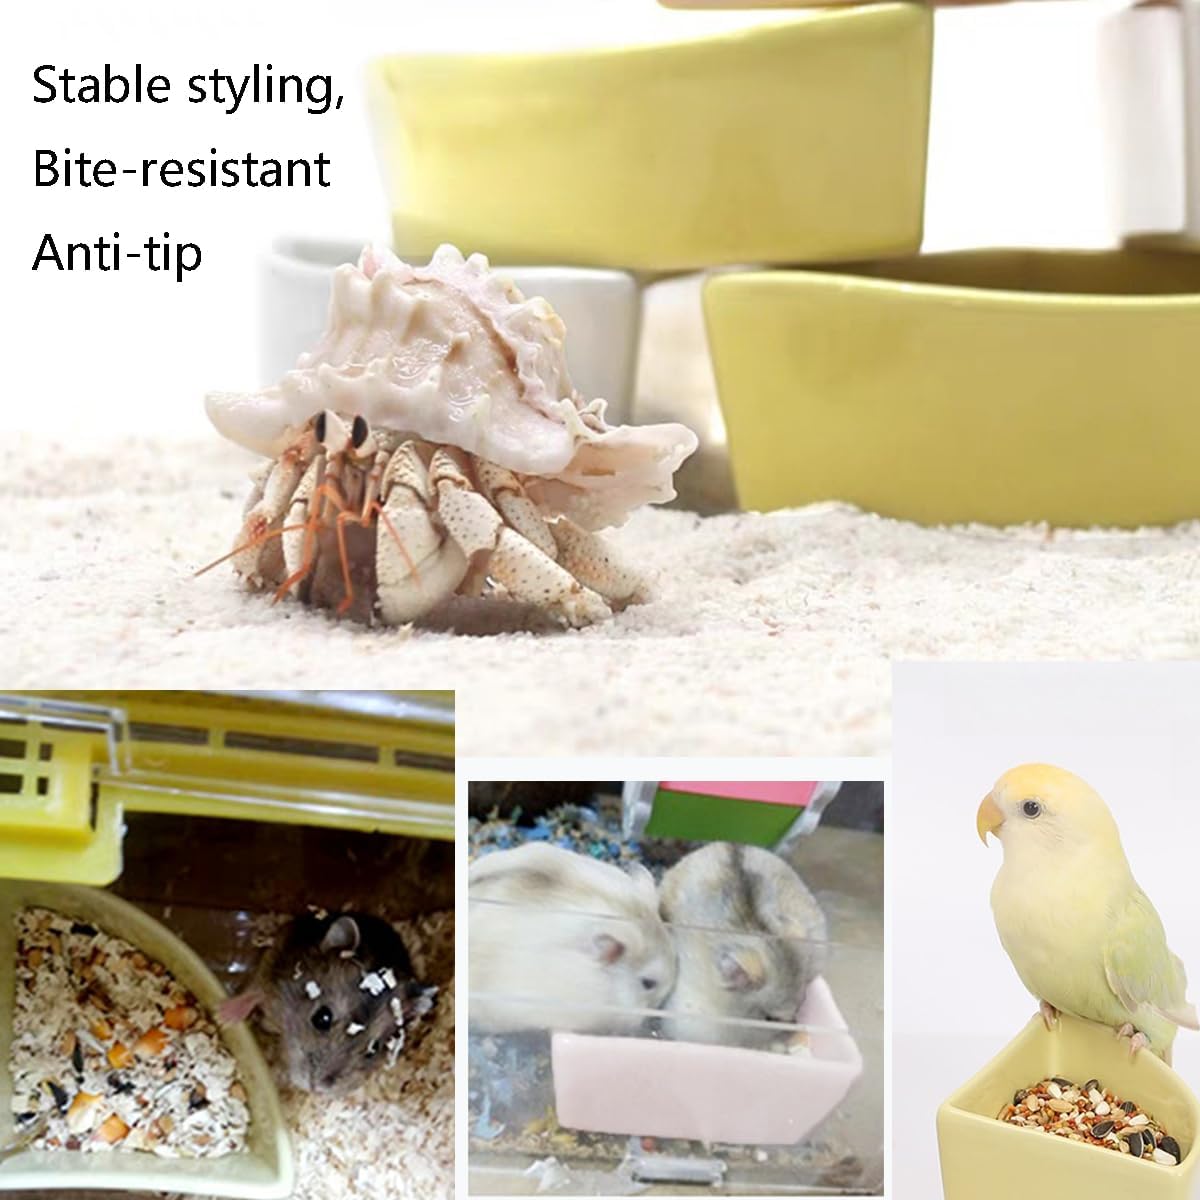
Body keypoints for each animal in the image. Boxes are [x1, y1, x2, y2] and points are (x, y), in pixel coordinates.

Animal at [219, 911, 437, 1094]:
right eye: (322, 1018)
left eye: (374, 1050)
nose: (316, 1089)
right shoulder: (275, 967)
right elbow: (255, 990)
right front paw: (223, 1017)